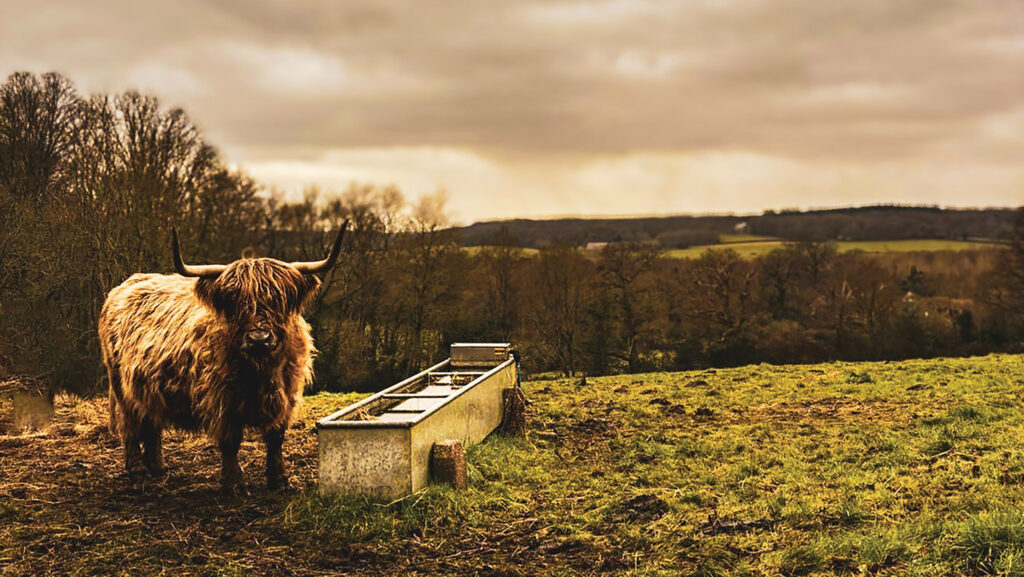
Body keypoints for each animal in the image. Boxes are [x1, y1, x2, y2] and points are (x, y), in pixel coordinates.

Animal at [99, 224, 347, 494]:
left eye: (277, 300)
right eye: (235, 302)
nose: (259, 338)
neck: (261, 370)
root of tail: (122, 287)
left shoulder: (287, 394)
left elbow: (276, 437)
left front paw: (279, 479)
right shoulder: (221, 397)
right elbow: (231, 441)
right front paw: (234, 483)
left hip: (149, 387)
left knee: (152, 421)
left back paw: (157, 466)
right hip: (121, 387)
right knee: (131, 425)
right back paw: (137, 469)